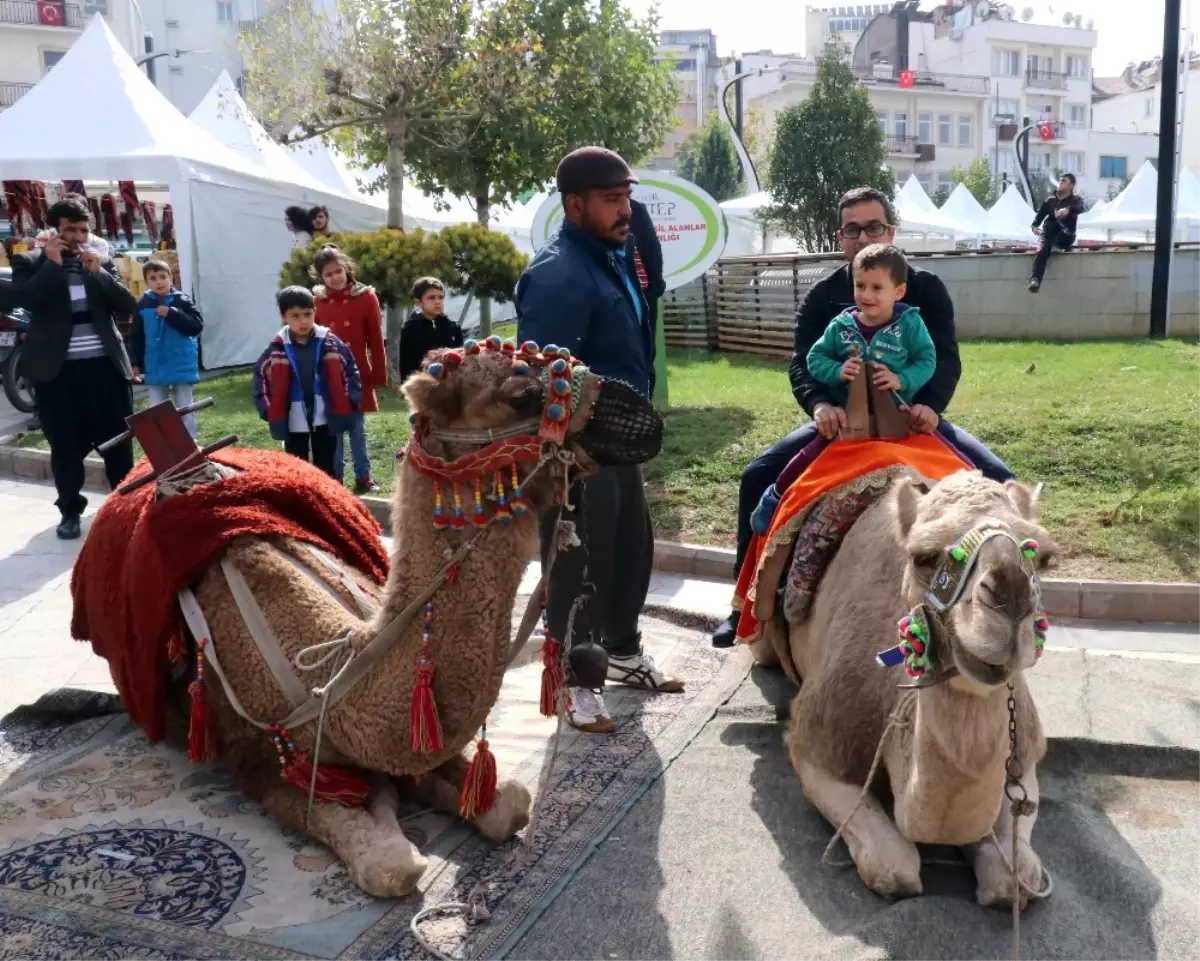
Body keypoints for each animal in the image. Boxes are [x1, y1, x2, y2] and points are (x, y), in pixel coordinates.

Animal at [70, 338, 662, 902]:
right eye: (523, 393)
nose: (641, 413)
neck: (328, 675)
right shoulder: (257, 759)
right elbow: (389, 863)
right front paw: (384, 808)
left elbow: (509, 804)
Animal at [734, 357, 1056, 907]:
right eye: (923, 557)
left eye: (1044, 556)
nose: (1008, 600)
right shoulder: (818, 738)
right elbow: (896, 868)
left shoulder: (1027, 745)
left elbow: (1014, 876)